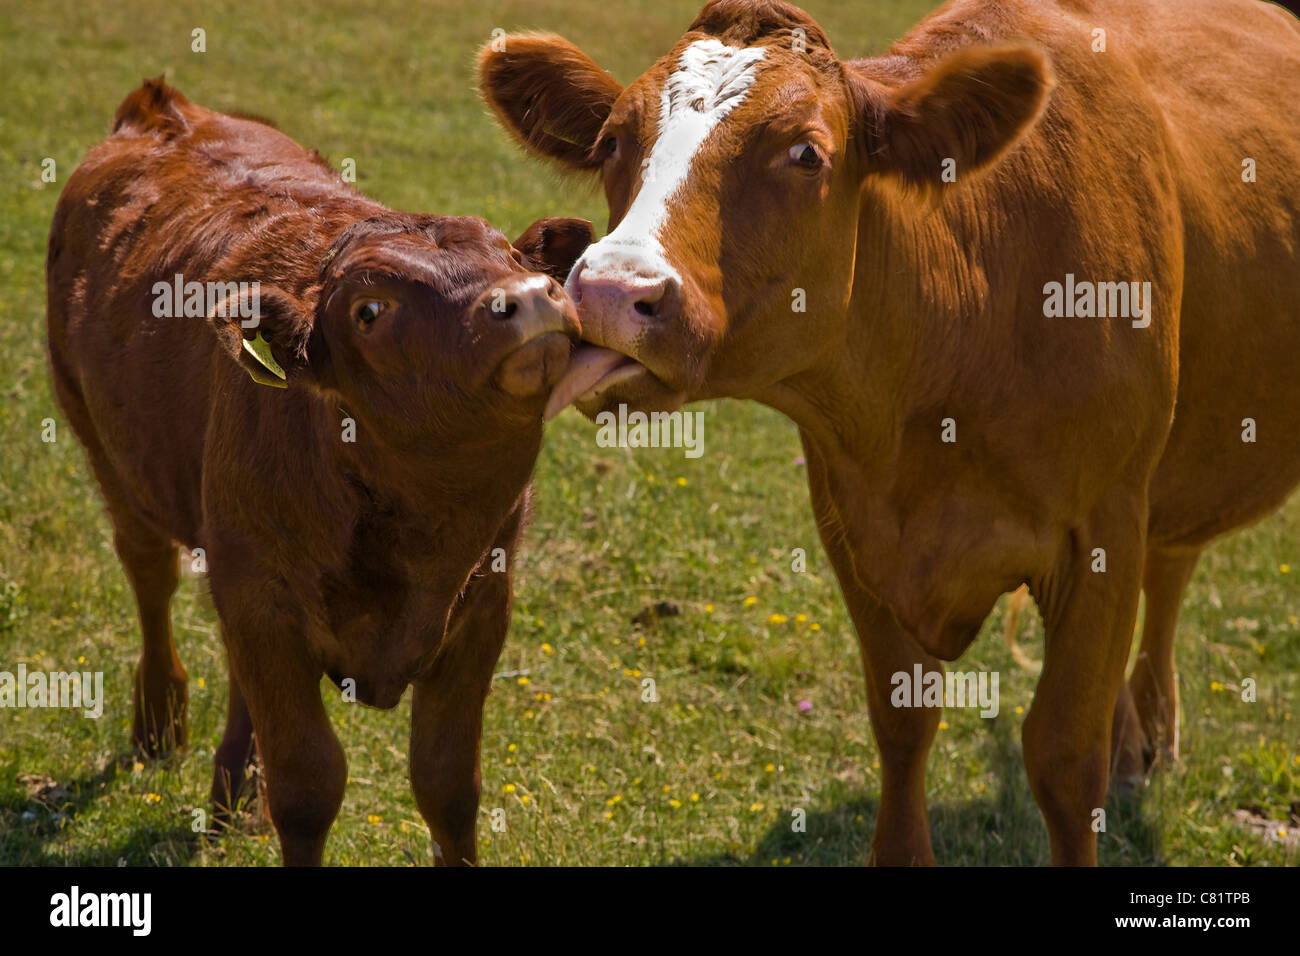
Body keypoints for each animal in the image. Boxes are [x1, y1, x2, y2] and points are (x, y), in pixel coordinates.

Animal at [47, 76, 595, 868]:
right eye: (369, 310)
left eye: (516, 258)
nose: (528, 299)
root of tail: (162, 106)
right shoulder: (261, 593)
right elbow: (308, 786)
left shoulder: (483, 603)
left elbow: (447, 784)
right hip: (106, 448)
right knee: (149, 573)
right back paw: (160, 721)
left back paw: (231, 793)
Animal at [486, 0, 1300, 868]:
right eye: (611, 141)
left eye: (805, 153)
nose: (611, 292)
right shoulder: (851, 522)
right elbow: (903, 720)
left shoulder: (1104, 526)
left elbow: (1062, 755)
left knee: (1170, 568)